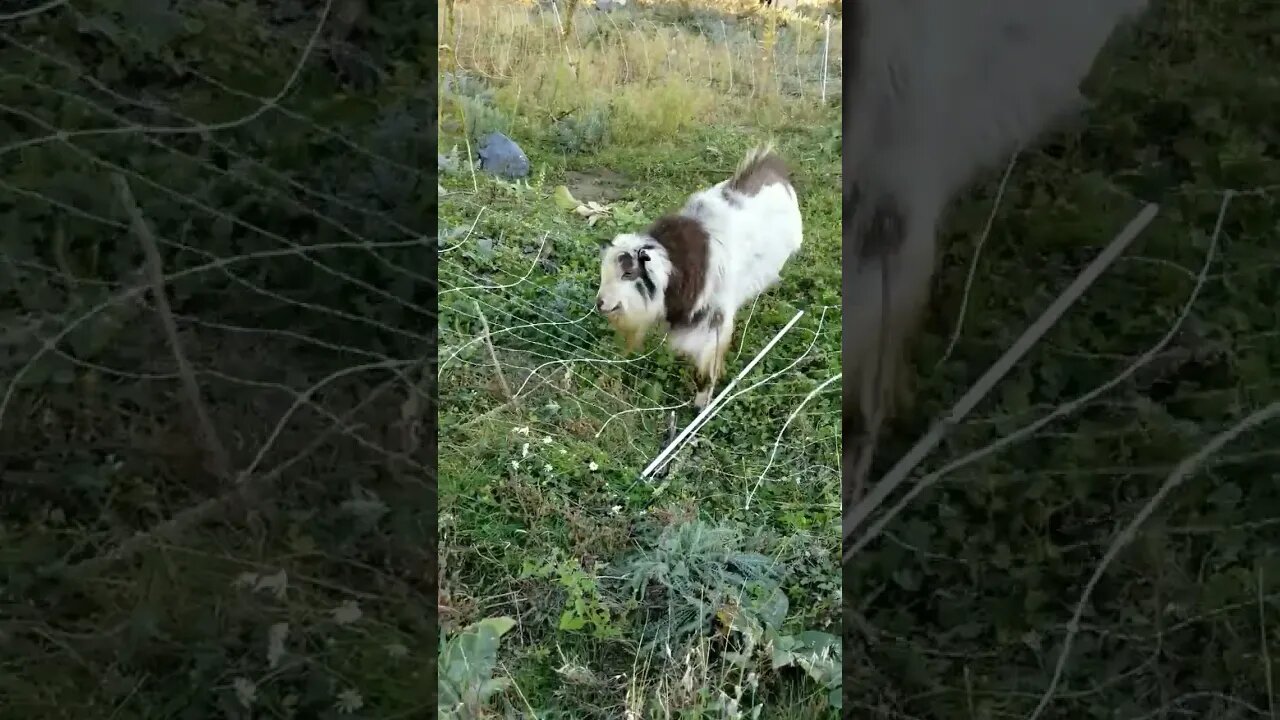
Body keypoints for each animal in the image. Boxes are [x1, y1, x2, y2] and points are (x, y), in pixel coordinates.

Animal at [596, 145, 804, 409]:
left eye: (628, 273)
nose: (600, 303)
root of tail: (771, 165)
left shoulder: (714, 321)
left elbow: (706, 368)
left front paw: (702, 404)